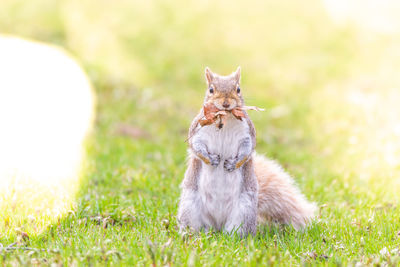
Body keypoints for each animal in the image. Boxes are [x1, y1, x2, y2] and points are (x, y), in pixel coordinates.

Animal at [177, 67, 316, 237]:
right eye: (211, 89)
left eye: (238, 89)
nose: (226, 103)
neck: (225, 119)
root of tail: (217, 225)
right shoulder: (198, 130)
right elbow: (196, 147)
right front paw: (211, 159)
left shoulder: (247, 134)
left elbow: (247, 150)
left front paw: (233, 163)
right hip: (190, 207)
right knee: (194, 226)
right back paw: (192, 234)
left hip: (244, 210)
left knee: (237, 231)